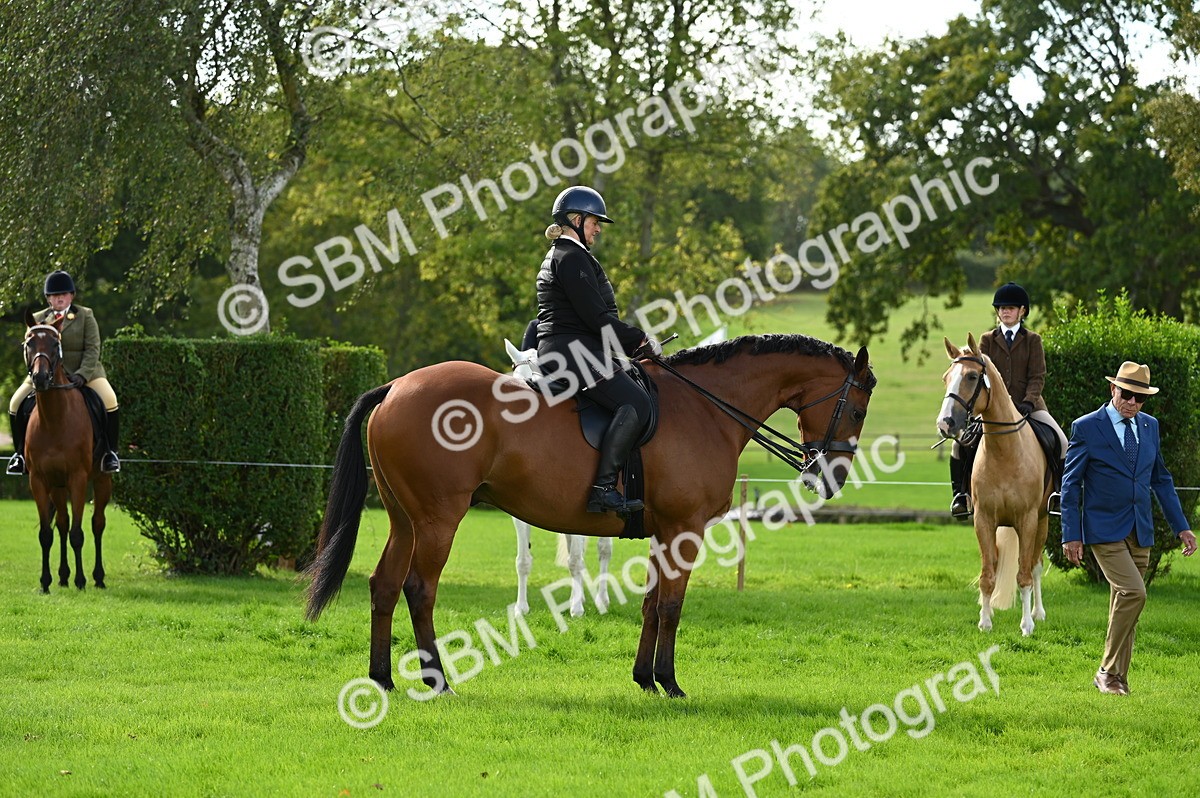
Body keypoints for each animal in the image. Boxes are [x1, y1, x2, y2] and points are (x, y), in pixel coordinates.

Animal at [21, 310, 112, 593]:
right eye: (29, 343)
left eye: (55, 344)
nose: (40, 379)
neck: (54, 419)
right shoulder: (39, 480)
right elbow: (46, 534)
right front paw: (45, 582)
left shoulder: (78, 479)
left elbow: (78, 533)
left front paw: (81, 580)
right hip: (57, 486)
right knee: (61, 524)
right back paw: (62, 576)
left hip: (102, 480)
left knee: (97, 524)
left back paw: (98, 578)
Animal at [504, 336, 613, 617]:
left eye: (536, 384)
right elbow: (523, 560)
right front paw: (521, 608)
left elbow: (577, 559)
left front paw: (576, 608)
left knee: (603, 550)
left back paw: (601, 600)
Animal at [936, 334, 1049, 636]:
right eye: (946, 378)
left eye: (972, 376)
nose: (945, 423)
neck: (1004, 452)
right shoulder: (984, 519)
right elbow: (987, 574)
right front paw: (985, 622)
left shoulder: (1028, 519)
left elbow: (1024, 574)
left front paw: (1026, 625)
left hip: (1043, 520)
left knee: (1035, 565)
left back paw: (1038, 613)